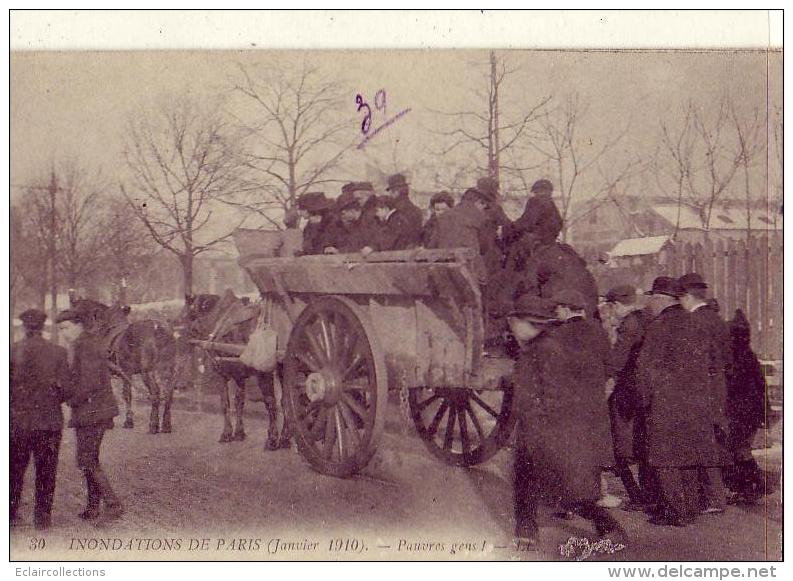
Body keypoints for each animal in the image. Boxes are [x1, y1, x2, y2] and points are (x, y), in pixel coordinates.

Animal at [69, 300, 176, 430]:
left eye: (77, 306)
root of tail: (159, 330)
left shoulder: (124, 372)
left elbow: (125, 394)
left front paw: (127, 421)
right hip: (168, 369)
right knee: (168, 393)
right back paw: (166, 425)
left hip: (147, 372)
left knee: (155, 393)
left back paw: (153, 425)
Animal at [181, 290, 290, 448]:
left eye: (187, 314)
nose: (184, 337)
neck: (216, 318)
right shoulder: (239, 376)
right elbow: (239, 402)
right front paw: (239, 433)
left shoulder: (220, 373)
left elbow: (225, 404)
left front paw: (226, 433)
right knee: (286, 401)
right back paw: (285, 438)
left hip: (265, 372)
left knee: (271, 402)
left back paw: (273, 438)